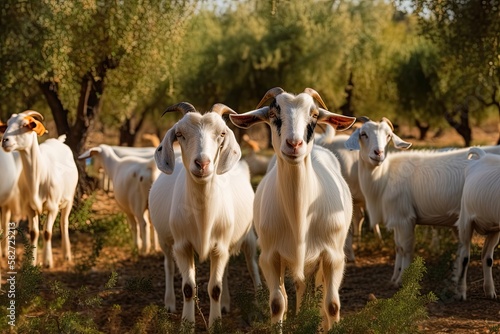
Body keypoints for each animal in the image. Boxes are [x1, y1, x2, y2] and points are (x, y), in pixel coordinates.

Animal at [0, 111, 78, 268]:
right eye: (7, 124)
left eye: (25, 125)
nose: (4, 140)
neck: (39, 177)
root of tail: (59, 141)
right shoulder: (29, 208)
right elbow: (34, 233)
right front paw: (32, 262)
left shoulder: (53, 207)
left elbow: (47, 232)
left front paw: (47, 262)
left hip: (69, 199)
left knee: (64, 223)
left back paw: (67, 255)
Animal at [148, 102, 262, 328]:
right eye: (180, 134)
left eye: (222, 133)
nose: (202, 164)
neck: (204, 218)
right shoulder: (182, 246)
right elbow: (188, 288)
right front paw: (187, 323)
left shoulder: (220, 246)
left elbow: (215, 288)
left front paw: (215, 323)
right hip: (165, 239)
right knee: (168, 266)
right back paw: (169, 303)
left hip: (247, 236)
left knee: (250, 265)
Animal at [230, 87, 356, 330]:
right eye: (272, 114)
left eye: (314, 115)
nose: (294, 144)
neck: (300, 216)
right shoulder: (270, 256)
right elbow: (278, 304)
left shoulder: (334, 255)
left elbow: (331, 305)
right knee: (297, 289)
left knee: (318, 292)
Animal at [346, 117, 500, 284]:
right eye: (363, 134)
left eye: (388, 136)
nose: (378, 153)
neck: (384, 175)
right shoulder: (397, 217)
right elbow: (398, 247)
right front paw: (394, 278)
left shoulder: (405, 218)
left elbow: (406, 249)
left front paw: (402, 280)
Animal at [456, 147, 498, 302]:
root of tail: (483, 156)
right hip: (465, 222)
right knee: (464, 256)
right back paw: (461, 293)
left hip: (494, 229)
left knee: (487, 257)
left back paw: (490, 292)